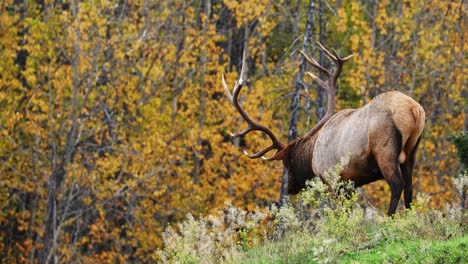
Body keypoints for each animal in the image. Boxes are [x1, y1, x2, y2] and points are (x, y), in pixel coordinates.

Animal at [223, 43, 424, 217]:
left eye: (287, 163)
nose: (289, 188)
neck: (312, 154)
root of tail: (413, 110)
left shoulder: (333, 179)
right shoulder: (351, 183)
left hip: (385, 151)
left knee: (397, 185)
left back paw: (390, 218)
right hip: (411, 152)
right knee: (409, 187)